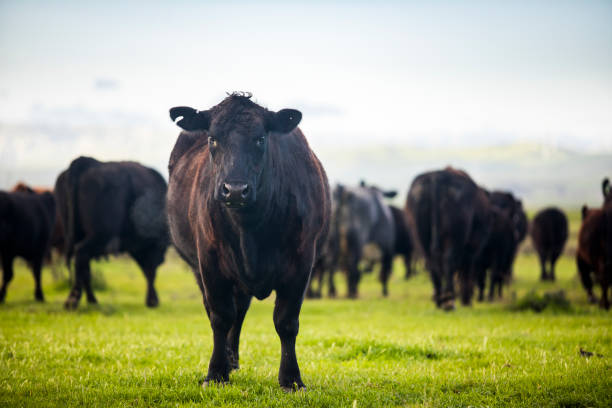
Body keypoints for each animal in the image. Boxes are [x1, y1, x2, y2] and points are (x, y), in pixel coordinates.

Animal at [55, 156, 170, 310]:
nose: (163, 259)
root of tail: (87, 162)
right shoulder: (149, 248)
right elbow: (150, 271)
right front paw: (152, 300)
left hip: (76, 234)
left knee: (84, 265)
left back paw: (92, 300)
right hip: (100, 236)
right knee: (81, 256)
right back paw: (73, 300)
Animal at [166, 92, 330, 388]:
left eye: (260, 138)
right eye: (213, 138)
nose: (235, 190)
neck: (250, 231)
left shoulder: (302, 262)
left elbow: (286, 322)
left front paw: (291, 378)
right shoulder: (209, 262)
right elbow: (220, 317)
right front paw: (216, 373)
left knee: (240, 311)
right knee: (224, 312)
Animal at [406, 167, 492, 310]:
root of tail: (437, 176)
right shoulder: (473, 247)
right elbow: (467, 270)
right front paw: (466, 299)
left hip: (421, 237)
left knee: (432, 264)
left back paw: (439, 300)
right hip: (454, 238)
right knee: (448, 261)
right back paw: (449, 301)